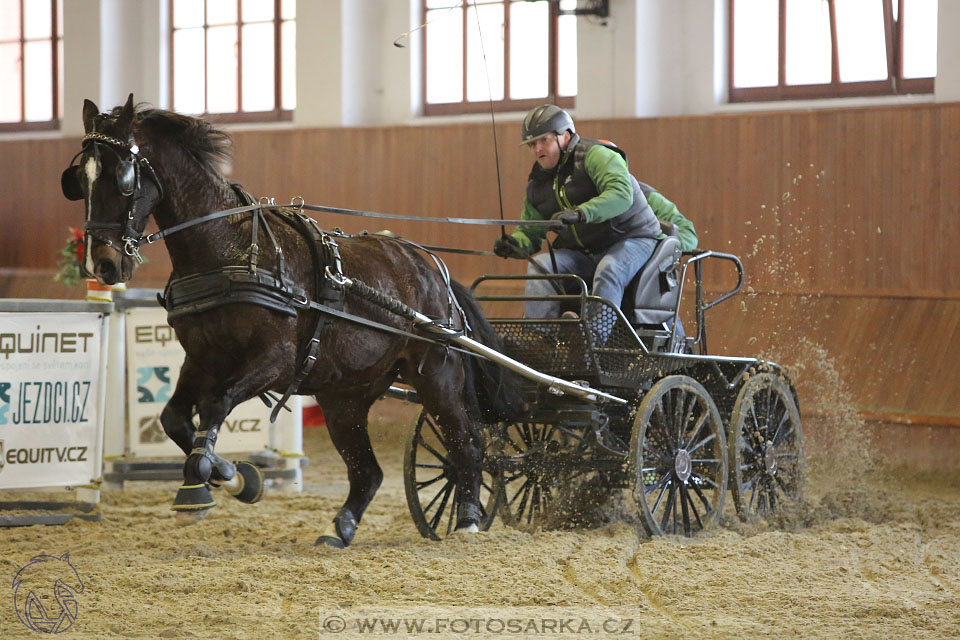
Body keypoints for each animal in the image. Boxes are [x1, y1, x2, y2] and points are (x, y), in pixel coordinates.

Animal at [62, 97, 520, 548]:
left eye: (122, 177)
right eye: (79, 181)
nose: (101, 264)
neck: (229, 252)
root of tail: (431, 268)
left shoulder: (275, 360)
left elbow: (215, 405)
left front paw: (198, 488)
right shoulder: (201, 358)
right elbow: (174, 418)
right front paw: (235, 477)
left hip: (437, 374)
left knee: (467, 444)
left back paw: (467, 521)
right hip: (344, 396)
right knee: (368, 471)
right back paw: (340, 528)